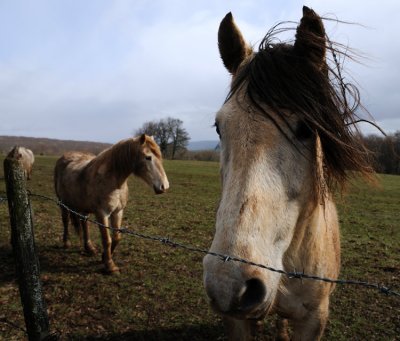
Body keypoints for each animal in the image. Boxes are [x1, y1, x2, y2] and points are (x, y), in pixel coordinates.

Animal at [54, 134, 169, 272]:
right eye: (148, 157)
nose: (164, 186)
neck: (114, 182)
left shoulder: (118, 212)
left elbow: (116, 237)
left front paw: (104, 257)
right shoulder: (102, 214)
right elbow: (106, 239)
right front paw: (110, 266)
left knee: (84, 224)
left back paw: (89, 248)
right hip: (63, 203)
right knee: (65, 221)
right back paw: (66, 243)